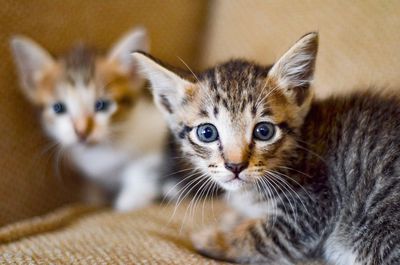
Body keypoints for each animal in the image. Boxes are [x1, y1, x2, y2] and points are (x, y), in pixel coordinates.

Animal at [10, 27, 167, 210]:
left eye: (102, 105)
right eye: (58, 108)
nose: (81, 131)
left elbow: (143, 168)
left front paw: (132, 199)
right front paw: (93, 200)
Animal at [133, 33, 400, 264]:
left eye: (264, 131)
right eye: (207, 133)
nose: (235, 166)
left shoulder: (313, 205)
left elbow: (261, 237)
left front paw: (210, 239)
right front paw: (233, 218)